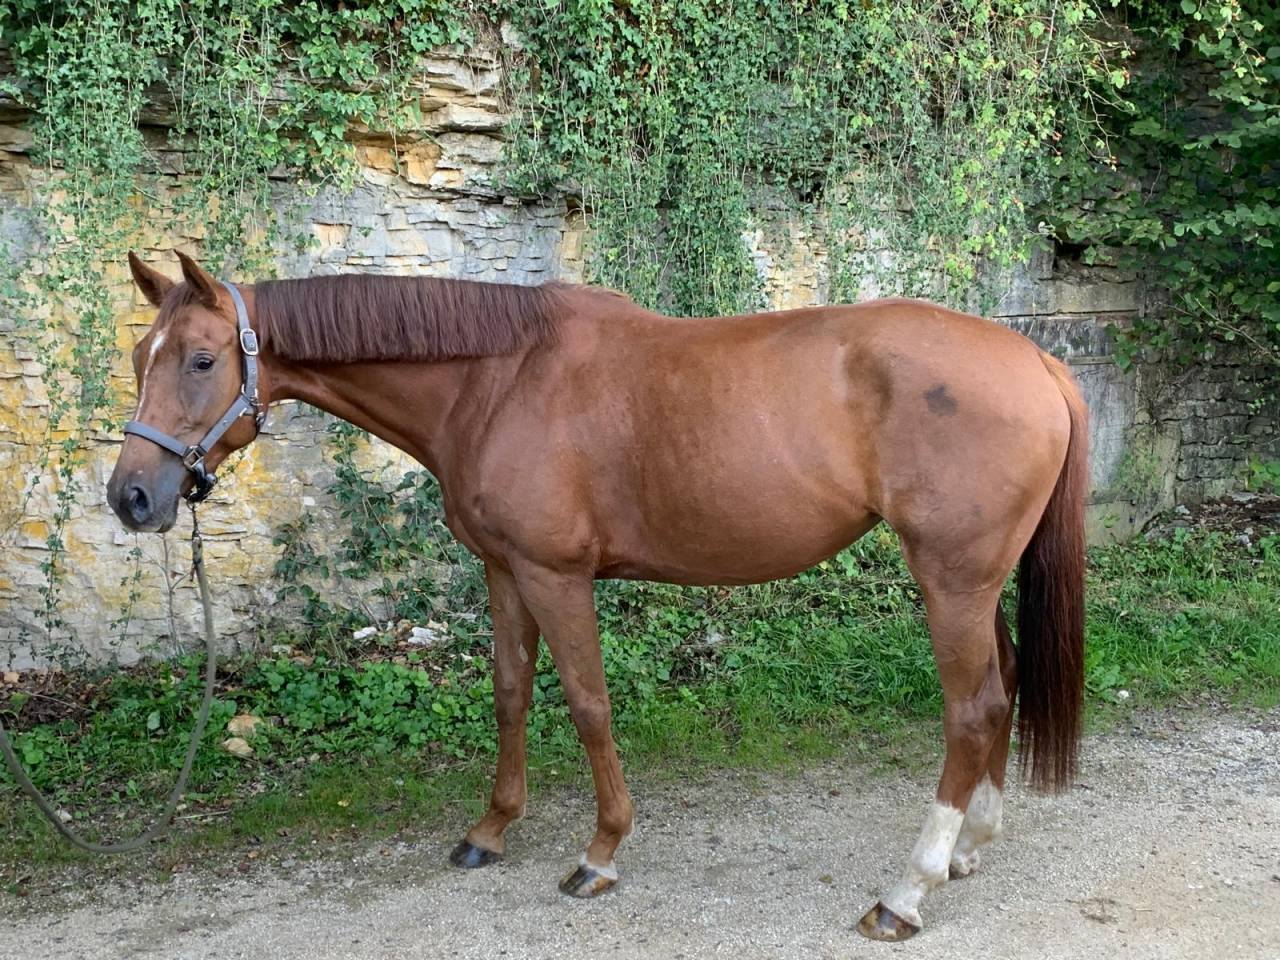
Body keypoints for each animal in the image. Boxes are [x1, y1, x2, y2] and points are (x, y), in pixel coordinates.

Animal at [107, 251, 1086, 941]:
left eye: (202, 359)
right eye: (141, 355)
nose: (132, 498)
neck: (497, 378)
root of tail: (1037, 360)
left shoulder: (556, 575)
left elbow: (586, 704)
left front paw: (601, 853)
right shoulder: (505, 571)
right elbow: (509, 695)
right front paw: (490, 831)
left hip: (951, 579)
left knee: (971, 708)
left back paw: (907, 891)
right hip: (977, 584)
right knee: (1000, 686)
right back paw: (969, 850)